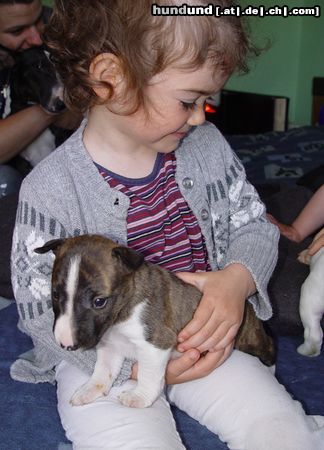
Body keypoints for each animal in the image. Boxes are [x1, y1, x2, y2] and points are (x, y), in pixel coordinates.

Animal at [35, 237, 274, 410]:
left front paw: (139, 398)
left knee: (269, 344)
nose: (66, 345)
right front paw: (90, 390)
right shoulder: (110, 346)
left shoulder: (156, 343)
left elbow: (148, 375)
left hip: (249, 337)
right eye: (55, 295)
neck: (122, 314)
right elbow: (103, 371)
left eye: (99, 301)